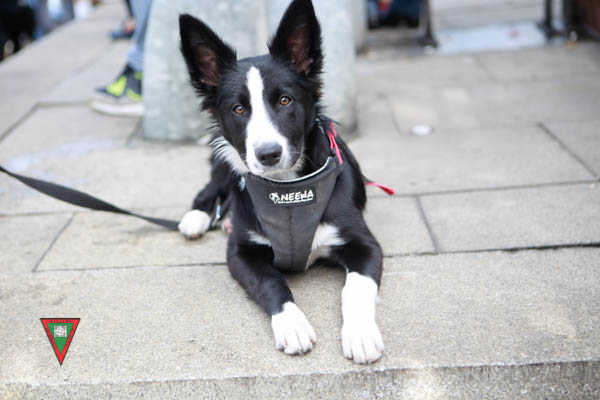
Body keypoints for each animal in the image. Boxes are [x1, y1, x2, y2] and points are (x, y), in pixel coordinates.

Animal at [178, 0, 384, 364]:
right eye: (239, 108)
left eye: (285, 100)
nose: (268, 154)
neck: (287, 190)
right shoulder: (241, 253)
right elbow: (272, 282)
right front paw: (292, 324)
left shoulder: (365, 243)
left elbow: (355, 288)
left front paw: (360, 332)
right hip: (226, 165)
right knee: (210, 188)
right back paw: (197, 217)